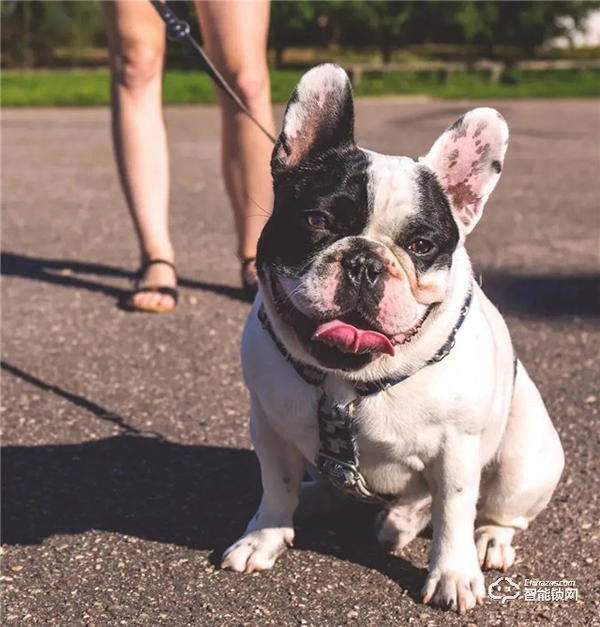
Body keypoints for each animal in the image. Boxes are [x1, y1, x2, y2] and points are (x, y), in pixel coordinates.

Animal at [223, 63, 564, 612]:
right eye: (317, 220)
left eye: (421, 245)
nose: (365, 261)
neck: (346, 382)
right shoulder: (269, 427)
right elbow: (275, 486)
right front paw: (264, 537)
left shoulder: (457, 450)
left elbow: (453, 513)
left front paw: (452, 574)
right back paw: (321, 498)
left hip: (522, 461)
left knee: (495, 511)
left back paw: (486, 539)